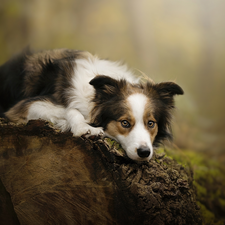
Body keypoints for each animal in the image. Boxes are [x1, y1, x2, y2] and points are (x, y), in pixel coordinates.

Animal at [0, 48, 183, 162]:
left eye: (151, 123)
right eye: (125, 123)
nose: (144, 153)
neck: (94, 94)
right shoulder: (24, 106)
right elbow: (71, 110)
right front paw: (84, 128)